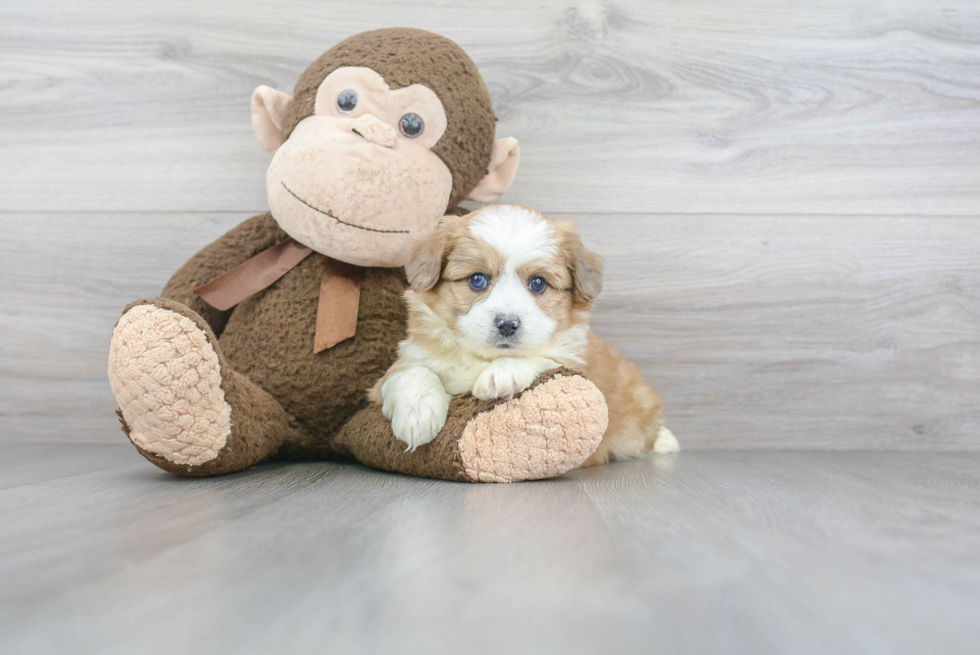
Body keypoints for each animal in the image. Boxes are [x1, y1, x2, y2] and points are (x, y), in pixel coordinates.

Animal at [372, 205, 676, 466]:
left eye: (538, 283)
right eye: (477, 279)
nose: (507, 324)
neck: (482, 358)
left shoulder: (576, 363)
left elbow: (542, 356)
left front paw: (502, 373)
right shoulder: (391, 374)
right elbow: (414, 372)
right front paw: (416, 414)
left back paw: (666, 440)